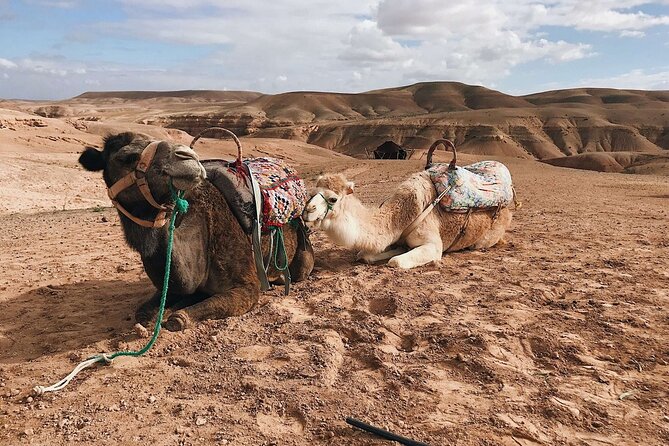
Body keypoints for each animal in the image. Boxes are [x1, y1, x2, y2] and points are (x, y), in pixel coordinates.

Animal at [79, 132, 314, 331]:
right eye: (127, 157)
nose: (187, 157)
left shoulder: (248, 286)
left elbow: (178, 319)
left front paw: (178, 313)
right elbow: (144, 314)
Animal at [302, 142, 514, 269]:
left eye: (333, 199)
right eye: (312, 193)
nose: (307, 211)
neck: (403, 214)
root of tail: (508, 211)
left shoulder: (433, 245)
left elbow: (395, 262)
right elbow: (365, 254)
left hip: (485, 238)